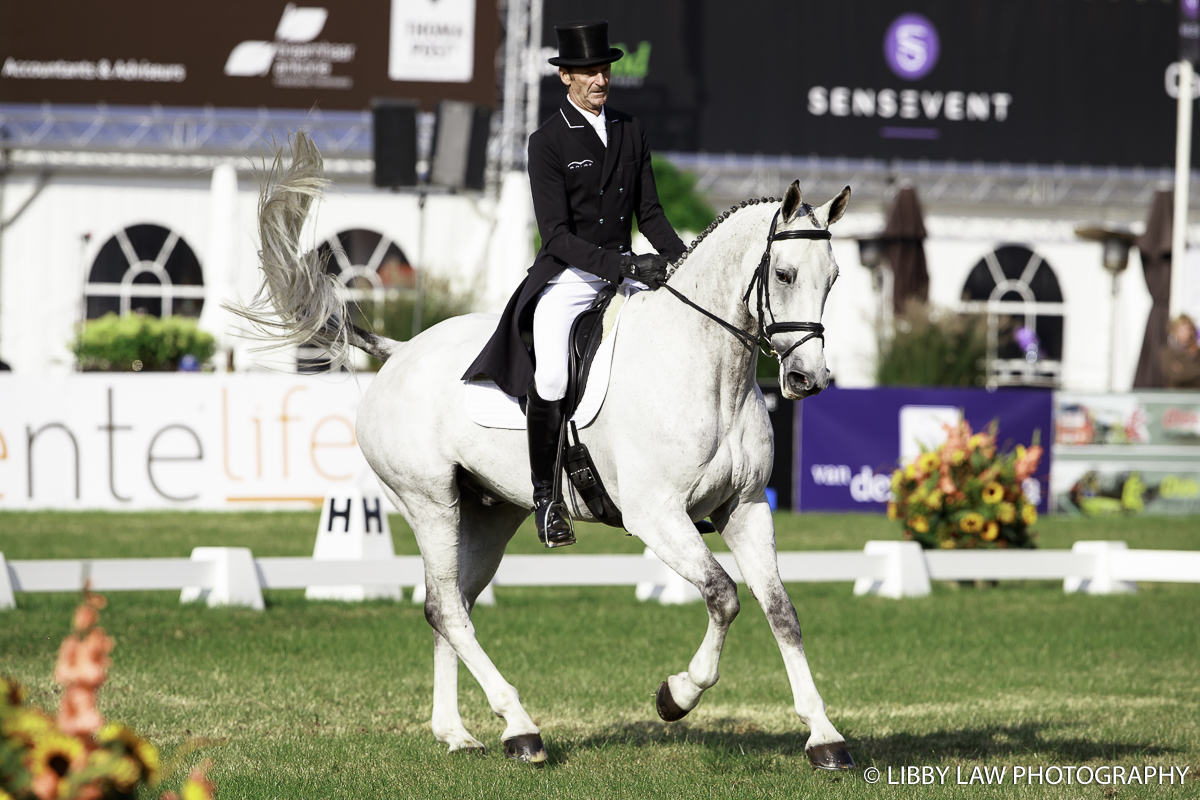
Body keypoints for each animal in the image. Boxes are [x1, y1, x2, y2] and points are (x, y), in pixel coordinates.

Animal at [234, 136, 854, 767]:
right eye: (784, 273)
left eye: (833, 279)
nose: (807, 379)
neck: (710, 371)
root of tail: (403, 350)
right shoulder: (656, 515)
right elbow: (723, 595)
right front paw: (676, 696)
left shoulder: (746, 508)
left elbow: (780, 611)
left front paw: (824, 736)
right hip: (429, 502)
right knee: (447, 609)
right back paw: (520, 727)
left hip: (489, 513)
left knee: (450, 603)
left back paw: (456, 733)